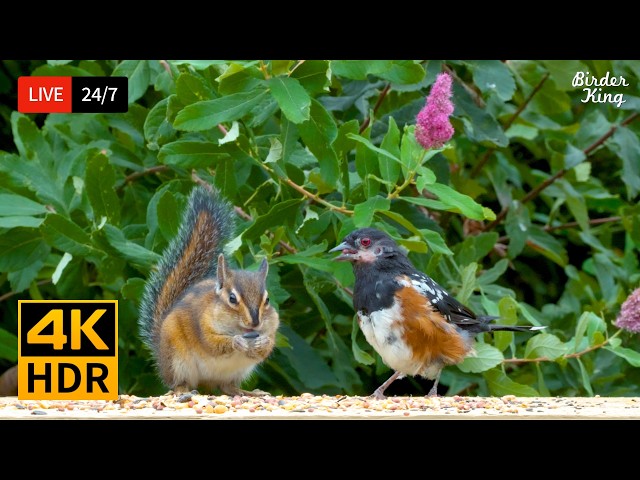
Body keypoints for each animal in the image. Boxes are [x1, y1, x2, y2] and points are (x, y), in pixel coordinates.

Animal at [138, 185, 280, 397]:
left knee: (228, 387)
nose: (255, 322)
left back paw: (250, 392)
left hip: (236, 373)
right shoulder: (203, 325)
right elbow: (212, 344)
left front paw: (262, 343)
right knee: (178, 383)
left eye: (267, 300)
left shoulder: (272, 328)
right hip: (176, 361)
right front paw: (237, 342)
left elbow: (267, 346)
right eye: (232, 298)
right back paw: (183, 391)